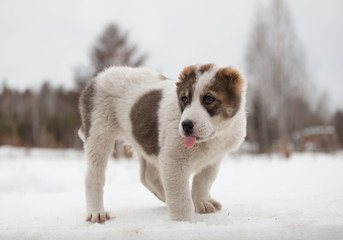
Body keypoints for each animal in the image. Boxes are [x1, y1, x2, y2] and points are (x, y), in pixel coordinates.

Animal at [78, 63, 247, 223]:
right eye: (184, 99)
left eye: (209, 99)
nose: (186, 125)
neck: (214, 137)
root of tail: (95, 80)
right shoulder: (173, 160)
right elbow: (180, 198)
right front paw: (183, 223)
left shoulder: (215, 158)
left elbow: (204, 180)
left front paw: (201, 202)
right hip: (99, 133)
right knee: (93, 175)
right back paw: (96, 212)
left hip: (145, 142)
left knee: (148, 177)